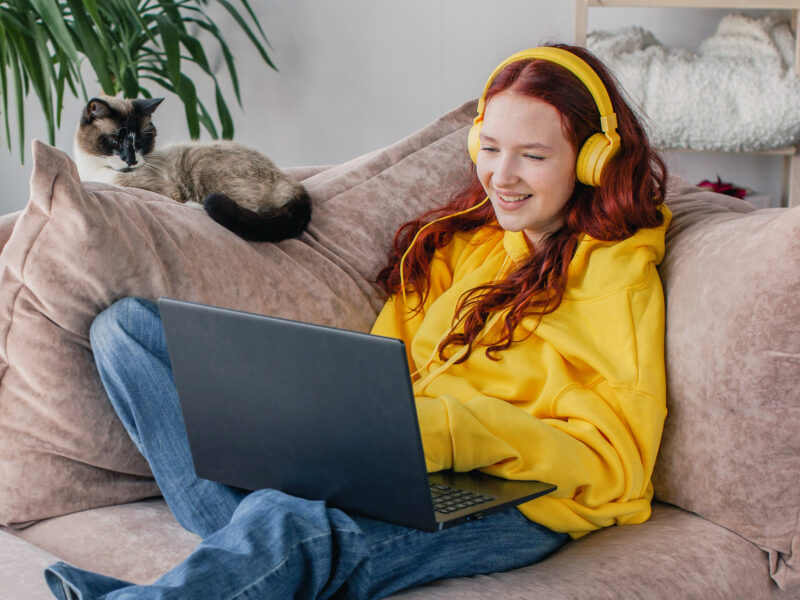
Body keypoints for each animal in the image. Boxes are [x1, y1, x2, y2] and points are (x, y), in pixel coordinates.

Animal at [72, 96, 310, 241]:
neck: (95, 170)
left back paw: (197, 206)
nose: (131, 160)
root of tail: (292, 183)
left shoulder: (160, 189)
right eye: (115, 140)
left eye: (140, 141)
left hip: (201, 167)